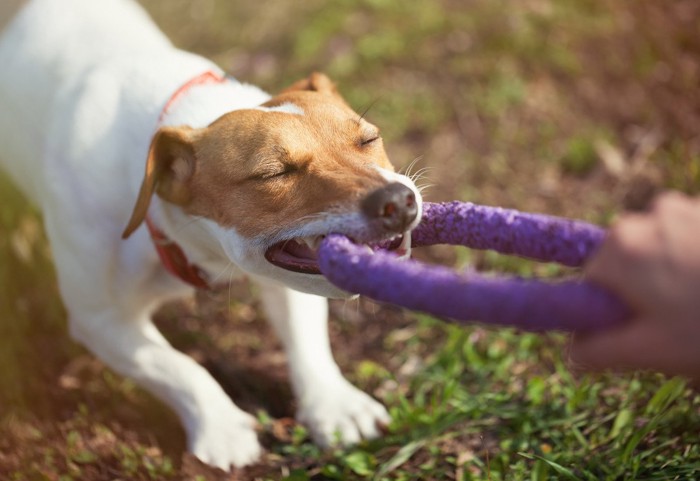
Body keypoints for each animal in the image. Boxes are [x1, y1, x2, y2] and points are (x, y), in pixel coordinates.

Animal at [0, 0, 422, 470]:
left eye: (370, 138)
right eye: (274, 174)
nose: (398, 200)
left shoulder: (287, 276)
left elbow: (305, 342)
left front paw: (335, 406)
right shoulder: (101, 319)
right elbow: (178, 368)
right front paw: (223, 429)